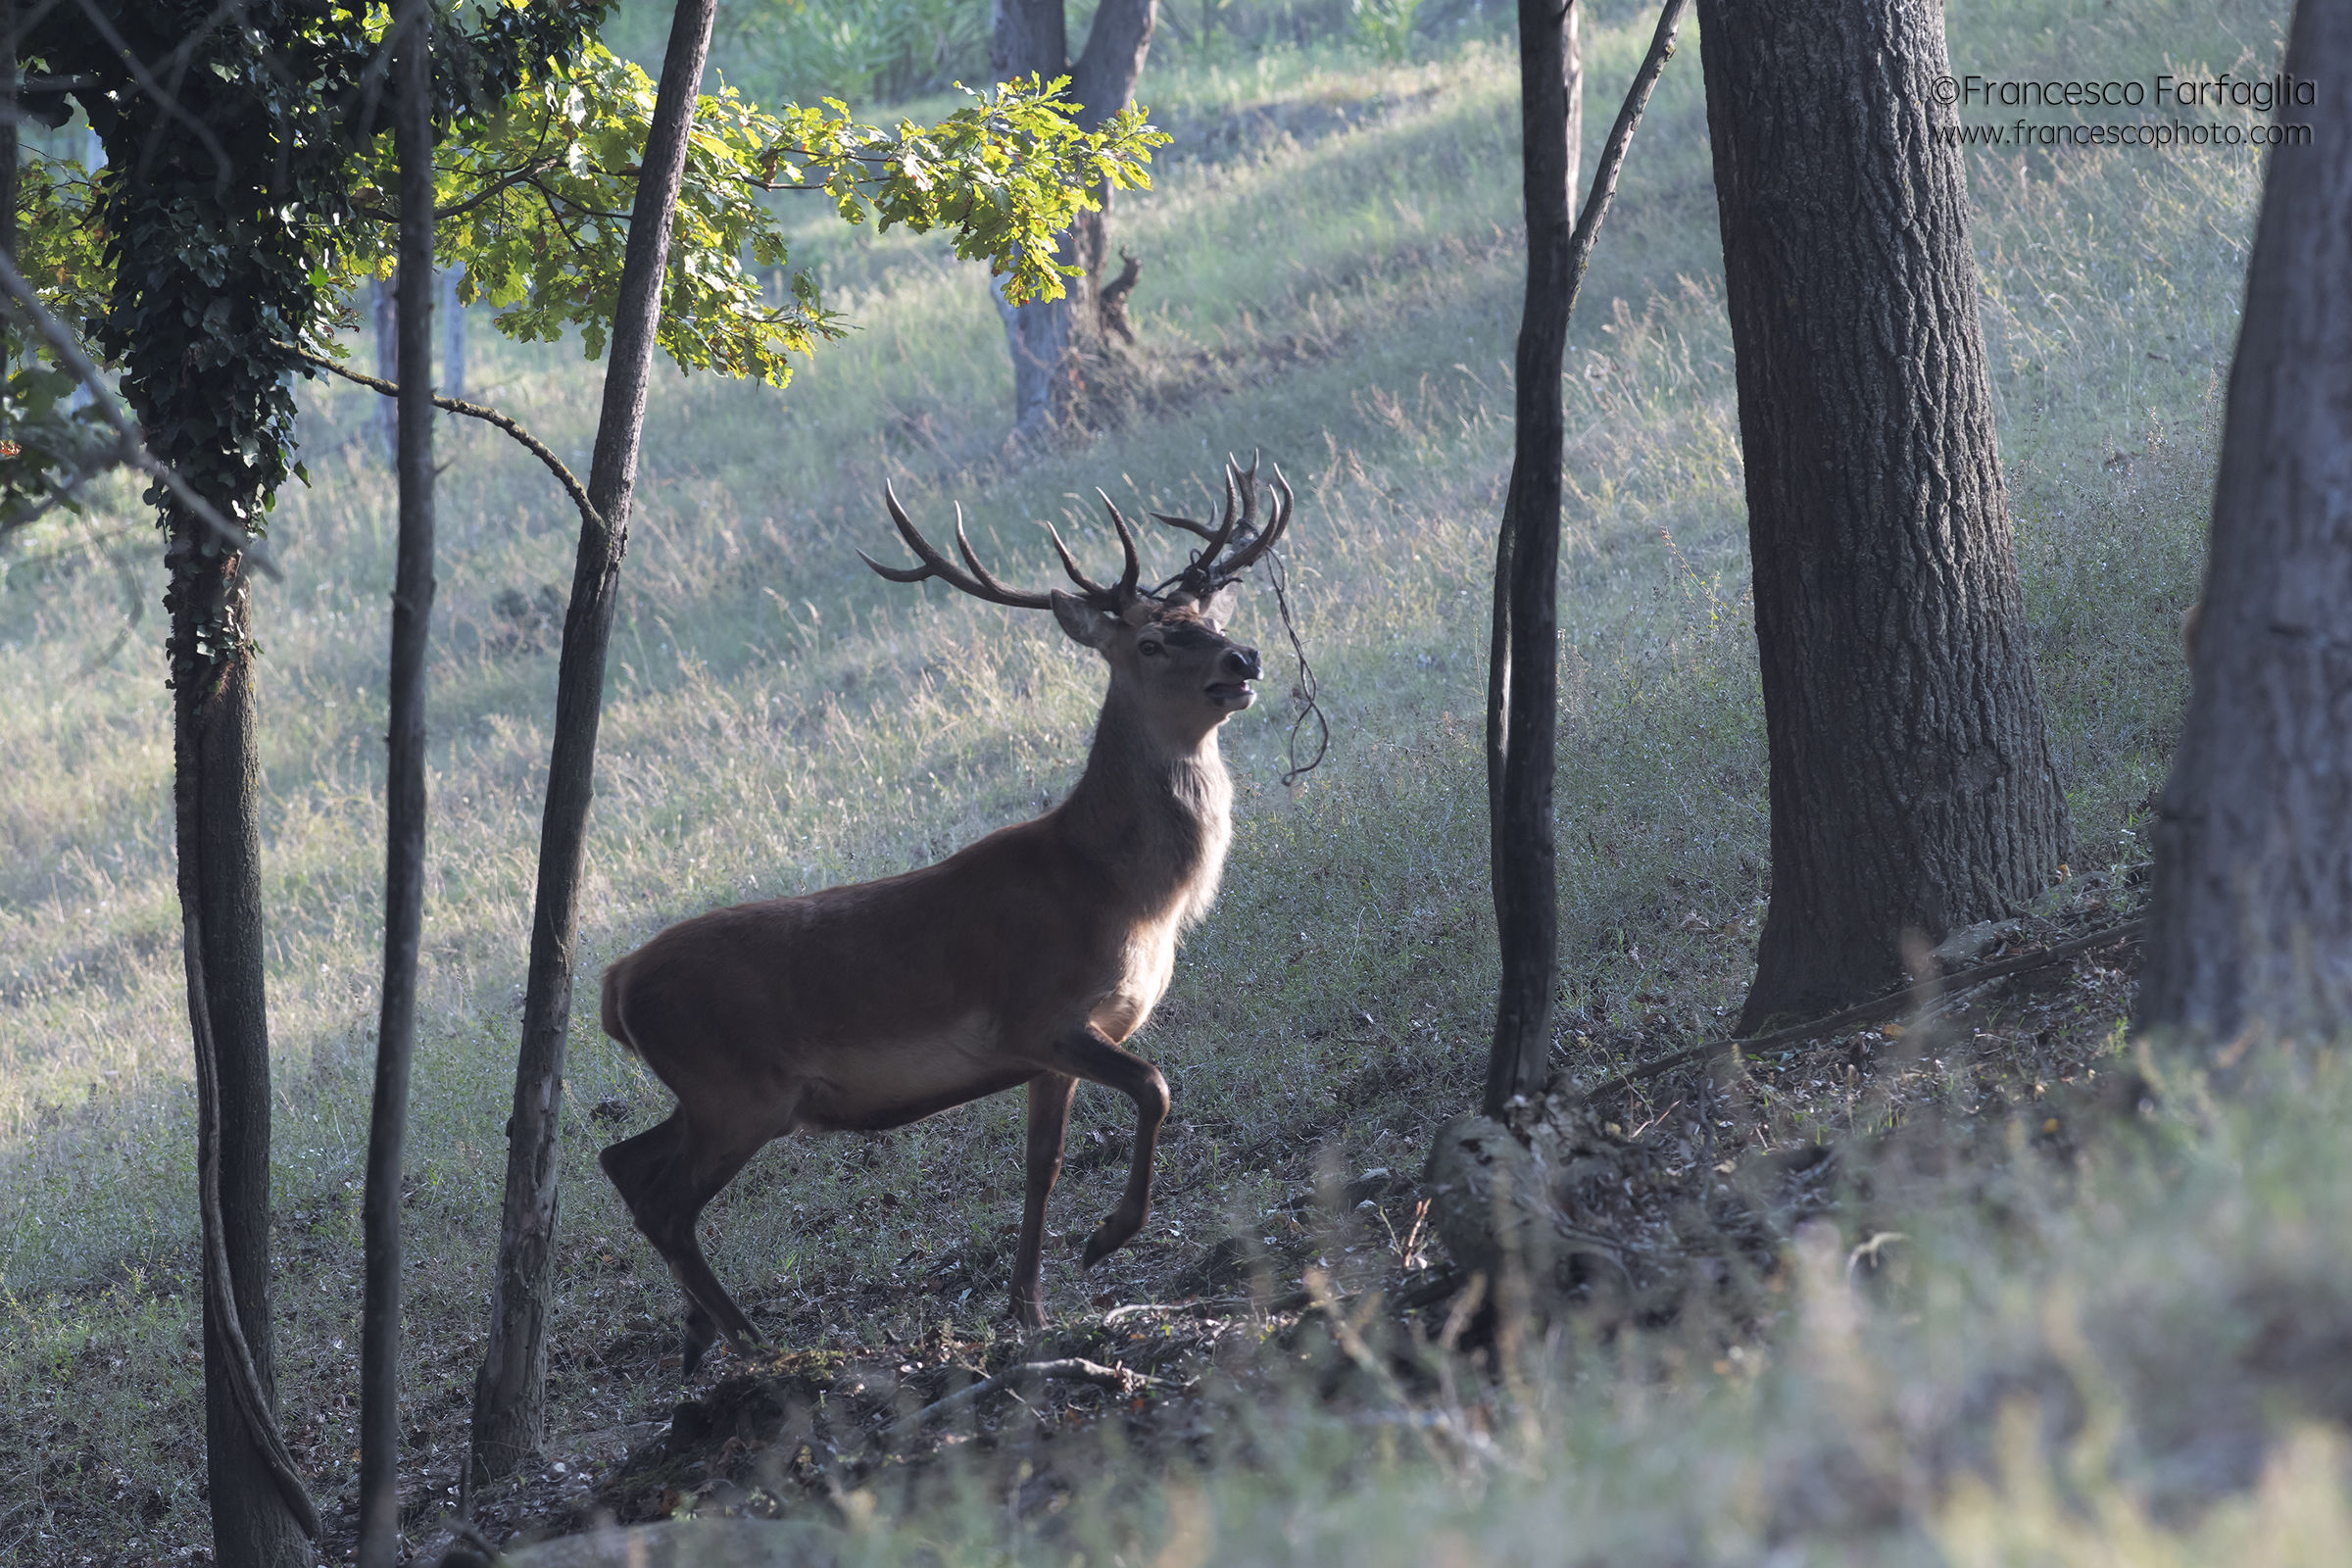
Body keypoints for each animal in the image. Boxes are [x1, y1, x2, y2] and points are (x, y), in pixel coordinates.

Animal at [596, 457, 1294, 1371]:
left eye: (1206, 618)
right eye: (1149, 640)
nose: (1244, 656)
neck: (1120, 894)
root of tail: (615, 986)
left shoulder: (1053, 1051)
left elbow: (1044, 1163)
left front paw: (1027, 1305)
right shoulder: (1037, 1016)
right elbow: (1156, 1086)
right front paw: (1107, 1238)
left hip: (715, 1095)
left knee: (623, 1159)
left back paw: (699, 1336)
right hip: (736, 1089)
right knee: (663, 1199)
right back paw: (750, 1340)